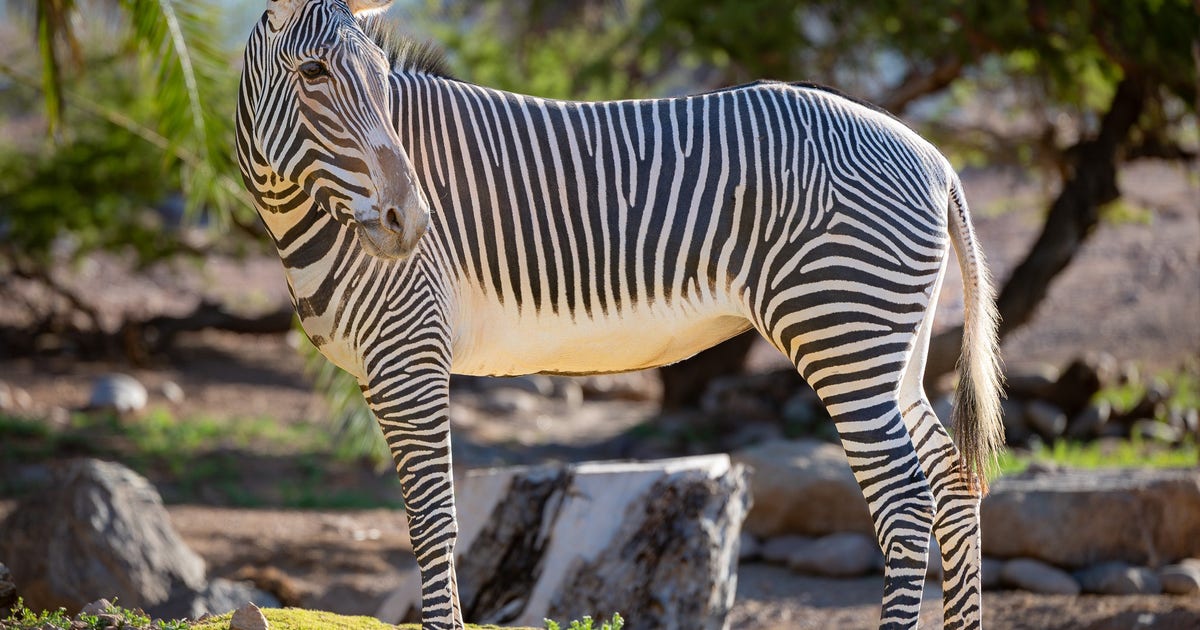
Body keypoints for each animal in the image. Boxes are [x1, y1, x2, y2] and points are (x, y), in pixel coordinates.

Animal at [235, 0, 1004, 628]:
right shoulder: (381, 371)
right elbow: (426, 521)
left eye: (381, 82)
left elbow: (433, 522)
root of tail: (934, 157)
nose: (413, 224)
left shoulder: (409, 352)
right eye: (313, 73)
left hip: (844, 331)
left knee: (905, 502)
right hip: (892, 349)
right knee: (953, 481)